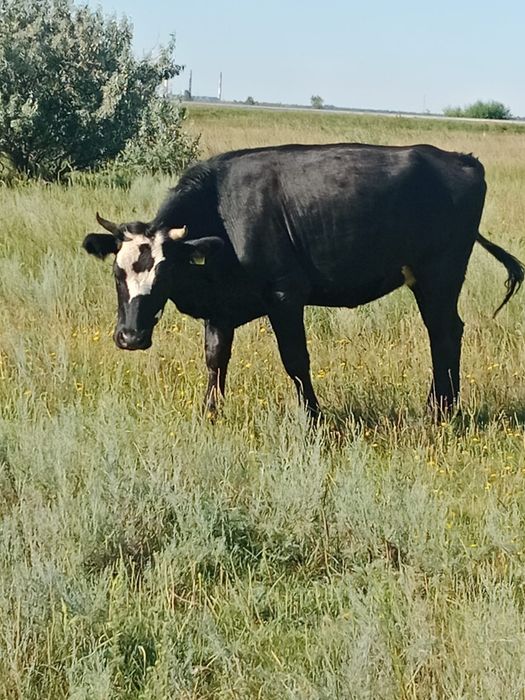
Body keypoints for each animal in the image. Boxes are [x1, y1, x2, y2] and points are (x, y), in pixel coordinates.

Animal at [82, 143, 524, 418]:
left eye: (165, 271)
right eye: (117, 272)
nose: (131, 337)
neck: (225, 213)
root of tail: (460, 158)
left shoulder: (285, 296)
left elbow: (295, 359)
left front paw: (313, 417)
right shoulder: (220, 308)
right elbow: (215, 358)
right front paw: (210, 412)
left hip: (439, 277)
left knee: (444, 333)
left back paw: (440, 410)